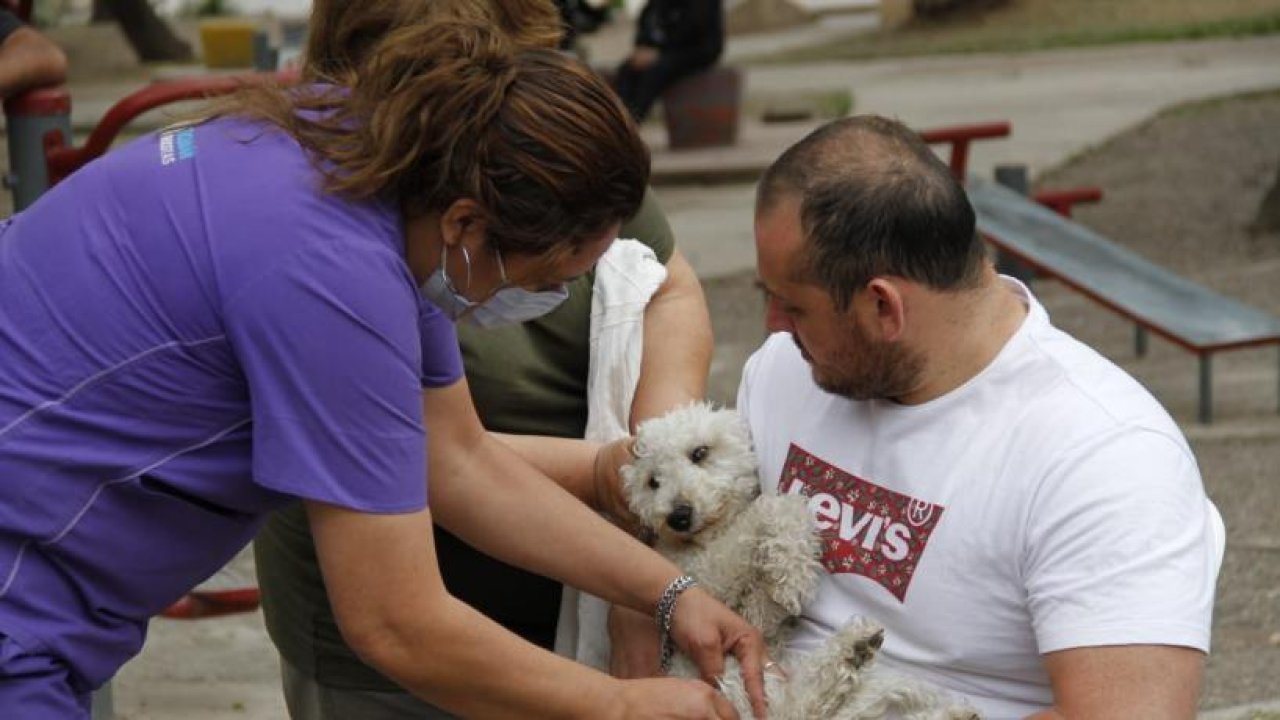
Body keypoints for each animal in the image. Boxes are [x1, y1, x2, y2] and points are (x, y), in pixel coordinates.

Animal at [619, 404, 977, 717]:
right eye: (652, 482)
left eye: (699, 452)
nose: (678, 516)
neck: (705, 538)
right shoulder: (711, 582)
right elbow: (772, 507)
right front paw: (793, 570)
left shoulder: (754, 619)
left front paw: (788, 569)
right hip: (739, 678)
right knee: (801, 707)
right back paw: (854, 653)